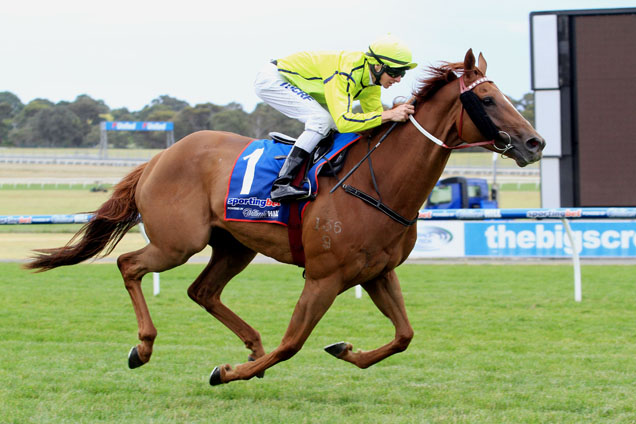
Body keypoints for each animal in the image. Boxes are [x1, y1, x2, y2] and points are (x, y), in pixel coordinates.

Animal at [24, 48, 540, 384]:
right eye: (488, 100)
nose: (535, 143)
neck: (377, 183)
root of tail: (160, 157)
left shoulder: (377, 273)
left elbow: (404, 336)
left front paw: (344, 348)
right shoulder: (324, 277)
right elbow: (291, 344)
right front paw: (227, 372)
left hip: (233, 246)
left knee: (201, 290)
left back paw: (250, 341)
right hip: (178, 242)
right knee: (129, 265)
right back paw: (145, 346)